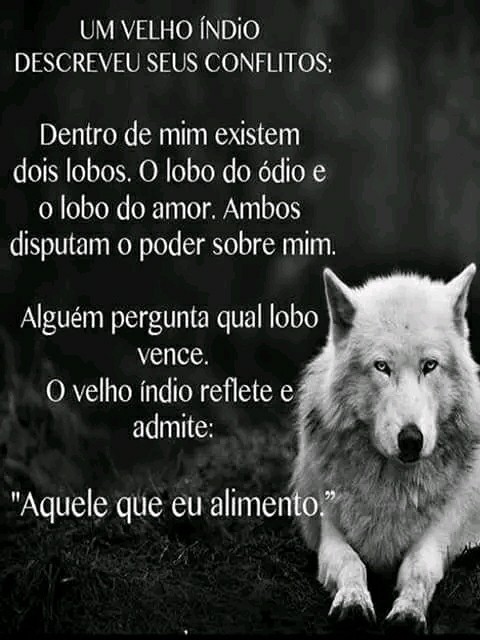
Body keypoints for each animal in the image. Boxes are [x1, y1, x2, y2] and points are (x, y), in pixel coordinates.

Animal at [291, 264, 480, 632]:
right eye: (382, 366)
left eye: (429, 365)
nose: (411, 439)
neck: (392, 486)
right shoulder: (330, 529)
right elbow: (351, 563)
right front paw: (353, 601)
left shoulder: (439, 533)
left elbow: (419, 569)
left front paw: (408, 612)